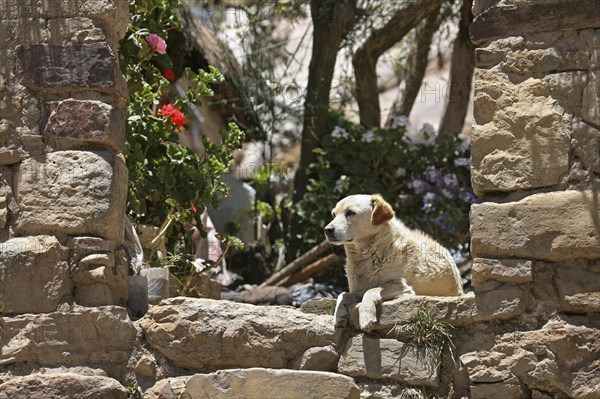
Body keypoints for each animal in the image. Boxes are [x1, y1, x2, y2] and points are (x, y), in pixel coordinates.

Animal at [326, 195, 462, 332]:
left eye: (350, 213)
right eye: (333, 215)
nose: (327, 230)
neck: (368, 254)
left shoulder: (401, 286)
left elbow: (371, 291)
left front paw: (366, 317)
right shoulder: (357, 291)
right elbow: (342, 295)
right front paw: (339, 315)